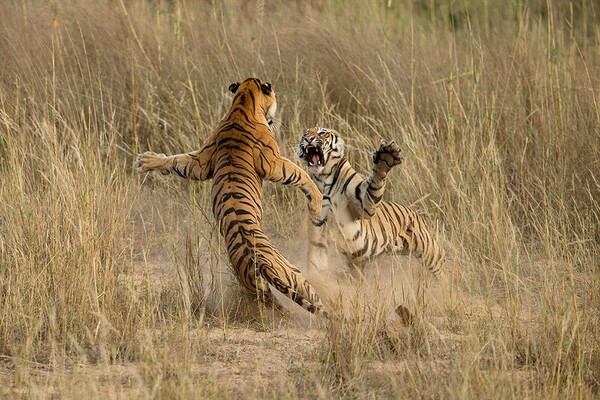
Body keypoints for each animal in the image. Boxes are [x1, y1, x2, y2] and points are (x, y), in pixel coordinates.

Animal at [135, 77, 328, 316]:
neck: (242, 103)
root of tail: (259, 263)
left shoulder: (201, 162)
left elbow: (177, 161)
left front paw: (146, 161)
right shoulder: (273, 163)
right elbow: (299, 173)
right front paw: (317, 200)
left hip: (262, 287)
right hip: (294, 274)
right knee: (315, 301)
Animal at [298, 128, 446, 278]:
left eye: (322, 133)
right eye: (305, 134)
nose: (308, 139)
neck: (325, 178)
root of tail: (416, 215)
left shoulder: (364, 204)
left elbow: (375, 182)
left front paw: (386, 157)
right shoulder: (319, 224)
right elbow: (317, 254)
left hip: (429, 251)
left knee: (442, 264)